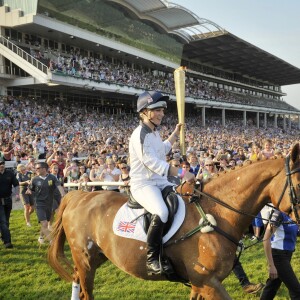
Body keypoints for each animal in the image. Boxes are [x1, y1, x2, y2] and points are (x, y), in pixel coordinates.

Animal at [48, 143, 298, 298]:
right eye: (298, 184)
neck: (217, 214)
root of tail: (79, 195)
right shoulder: (208, 282)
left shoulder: (199, 284)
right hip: (86, 261)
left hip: (96, 258)